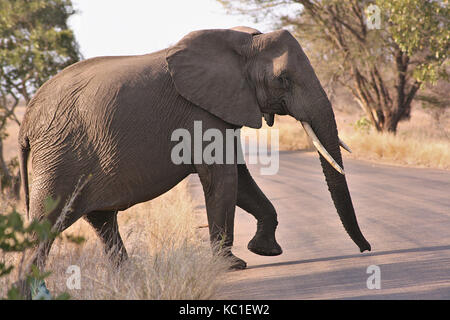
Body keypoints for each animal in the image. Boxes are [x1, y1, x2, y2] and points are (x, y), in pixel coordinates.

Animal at [16, 26, 370, 278]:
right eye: (283, 79)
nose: (366, 249)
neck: (244, 43)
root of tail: (26, 122)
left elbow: (239, 177)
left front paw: (264, 250)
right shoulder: (202, 111)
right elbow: (223, 177)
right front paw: (234, 265)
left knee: (102, 220)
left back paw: (127, 279)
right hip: (59, 155)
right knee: (44, 228)